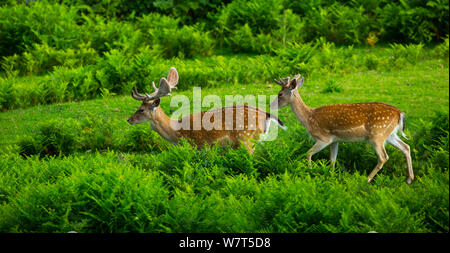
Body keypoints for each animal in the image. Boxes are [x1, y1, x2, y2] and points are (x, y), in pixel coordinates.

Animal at [128, 67, 286, 153]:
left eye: (141, 109)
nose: (129, 119)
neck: (176, 133)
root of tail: (267, 114)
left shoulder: (197, 145)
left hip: (246, 137)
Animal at [268, 74, 414, 184]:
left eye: (280, 94)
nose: (270, 105)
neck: (309, 118)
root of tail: (399, 113)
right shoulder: (335, 140)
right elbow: (332, 160)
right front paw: (331, 177)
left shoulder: (324, 137)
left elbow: (308, 154)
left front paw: (310, 172)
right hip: (390, 134)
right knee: (406, 147)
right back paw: (409, 179)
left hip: (377, 135)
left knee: (383, 157)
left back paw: (366, 179)